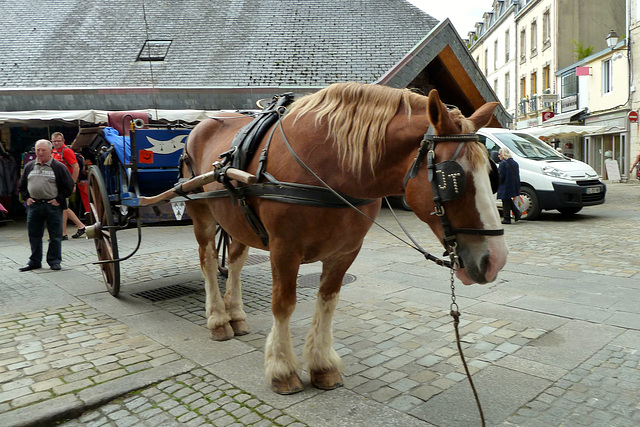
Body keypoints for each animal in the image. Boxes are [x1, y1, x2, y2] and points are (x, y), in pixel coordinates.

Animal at [182, 83, 508, 394]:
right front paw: (282, 369)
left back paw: (236, 315)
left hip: (236, 220)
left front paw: (322, 365)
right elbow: (283, 305)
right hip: (201, 212)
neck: (328, 169)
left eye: (491, 172)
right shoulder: (283, 249)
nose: (496, 260)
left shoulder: (345, 251)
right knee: (208, 261)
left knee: (236, 262)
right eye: (451, 178)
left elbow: (328, 300)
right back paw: (218, 319)